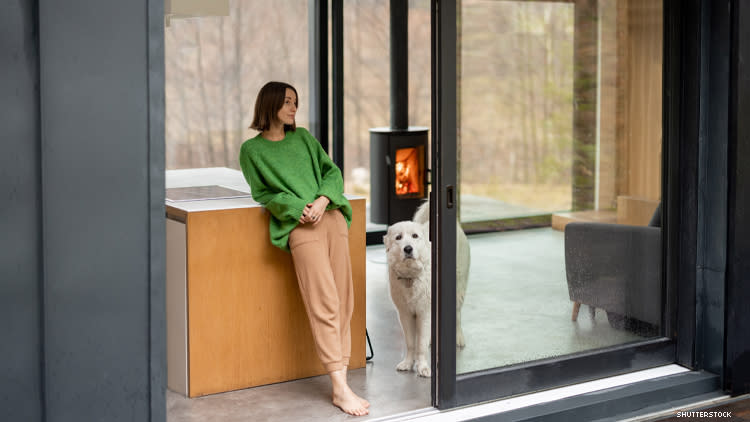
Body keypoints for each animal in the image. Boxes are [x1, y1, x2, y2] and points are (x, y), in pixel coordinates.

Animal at [388, 203, 470, 378]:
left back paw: (459, 338)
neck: (411, 276)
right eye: (398, 237)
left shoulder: (424, 312)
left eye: (415, 236)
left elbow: (421, 345)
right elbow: (411, 343)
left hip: (458, 290)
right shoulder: (405, 313)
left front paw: (423, 368)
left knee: (457, 315)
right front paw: (408, 363)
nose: (408, 249)